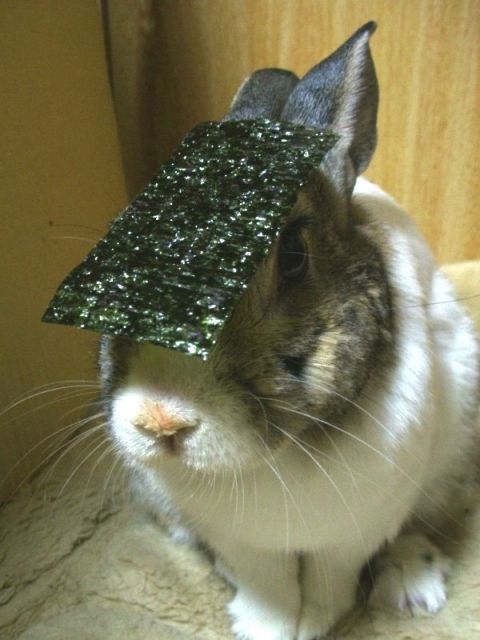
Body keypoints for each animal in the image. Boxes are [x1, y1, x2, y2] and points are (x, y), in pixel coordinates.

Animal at [98, 22, 479, 640]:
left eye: (295, 257)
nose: (161, 420)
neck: (276, 458)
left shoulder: (351, 534)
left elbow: (330, 582)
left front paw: (316, 624)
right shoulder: (238, 542)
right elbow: (266, 586)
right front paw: (265, 628)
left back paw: (413, 587)